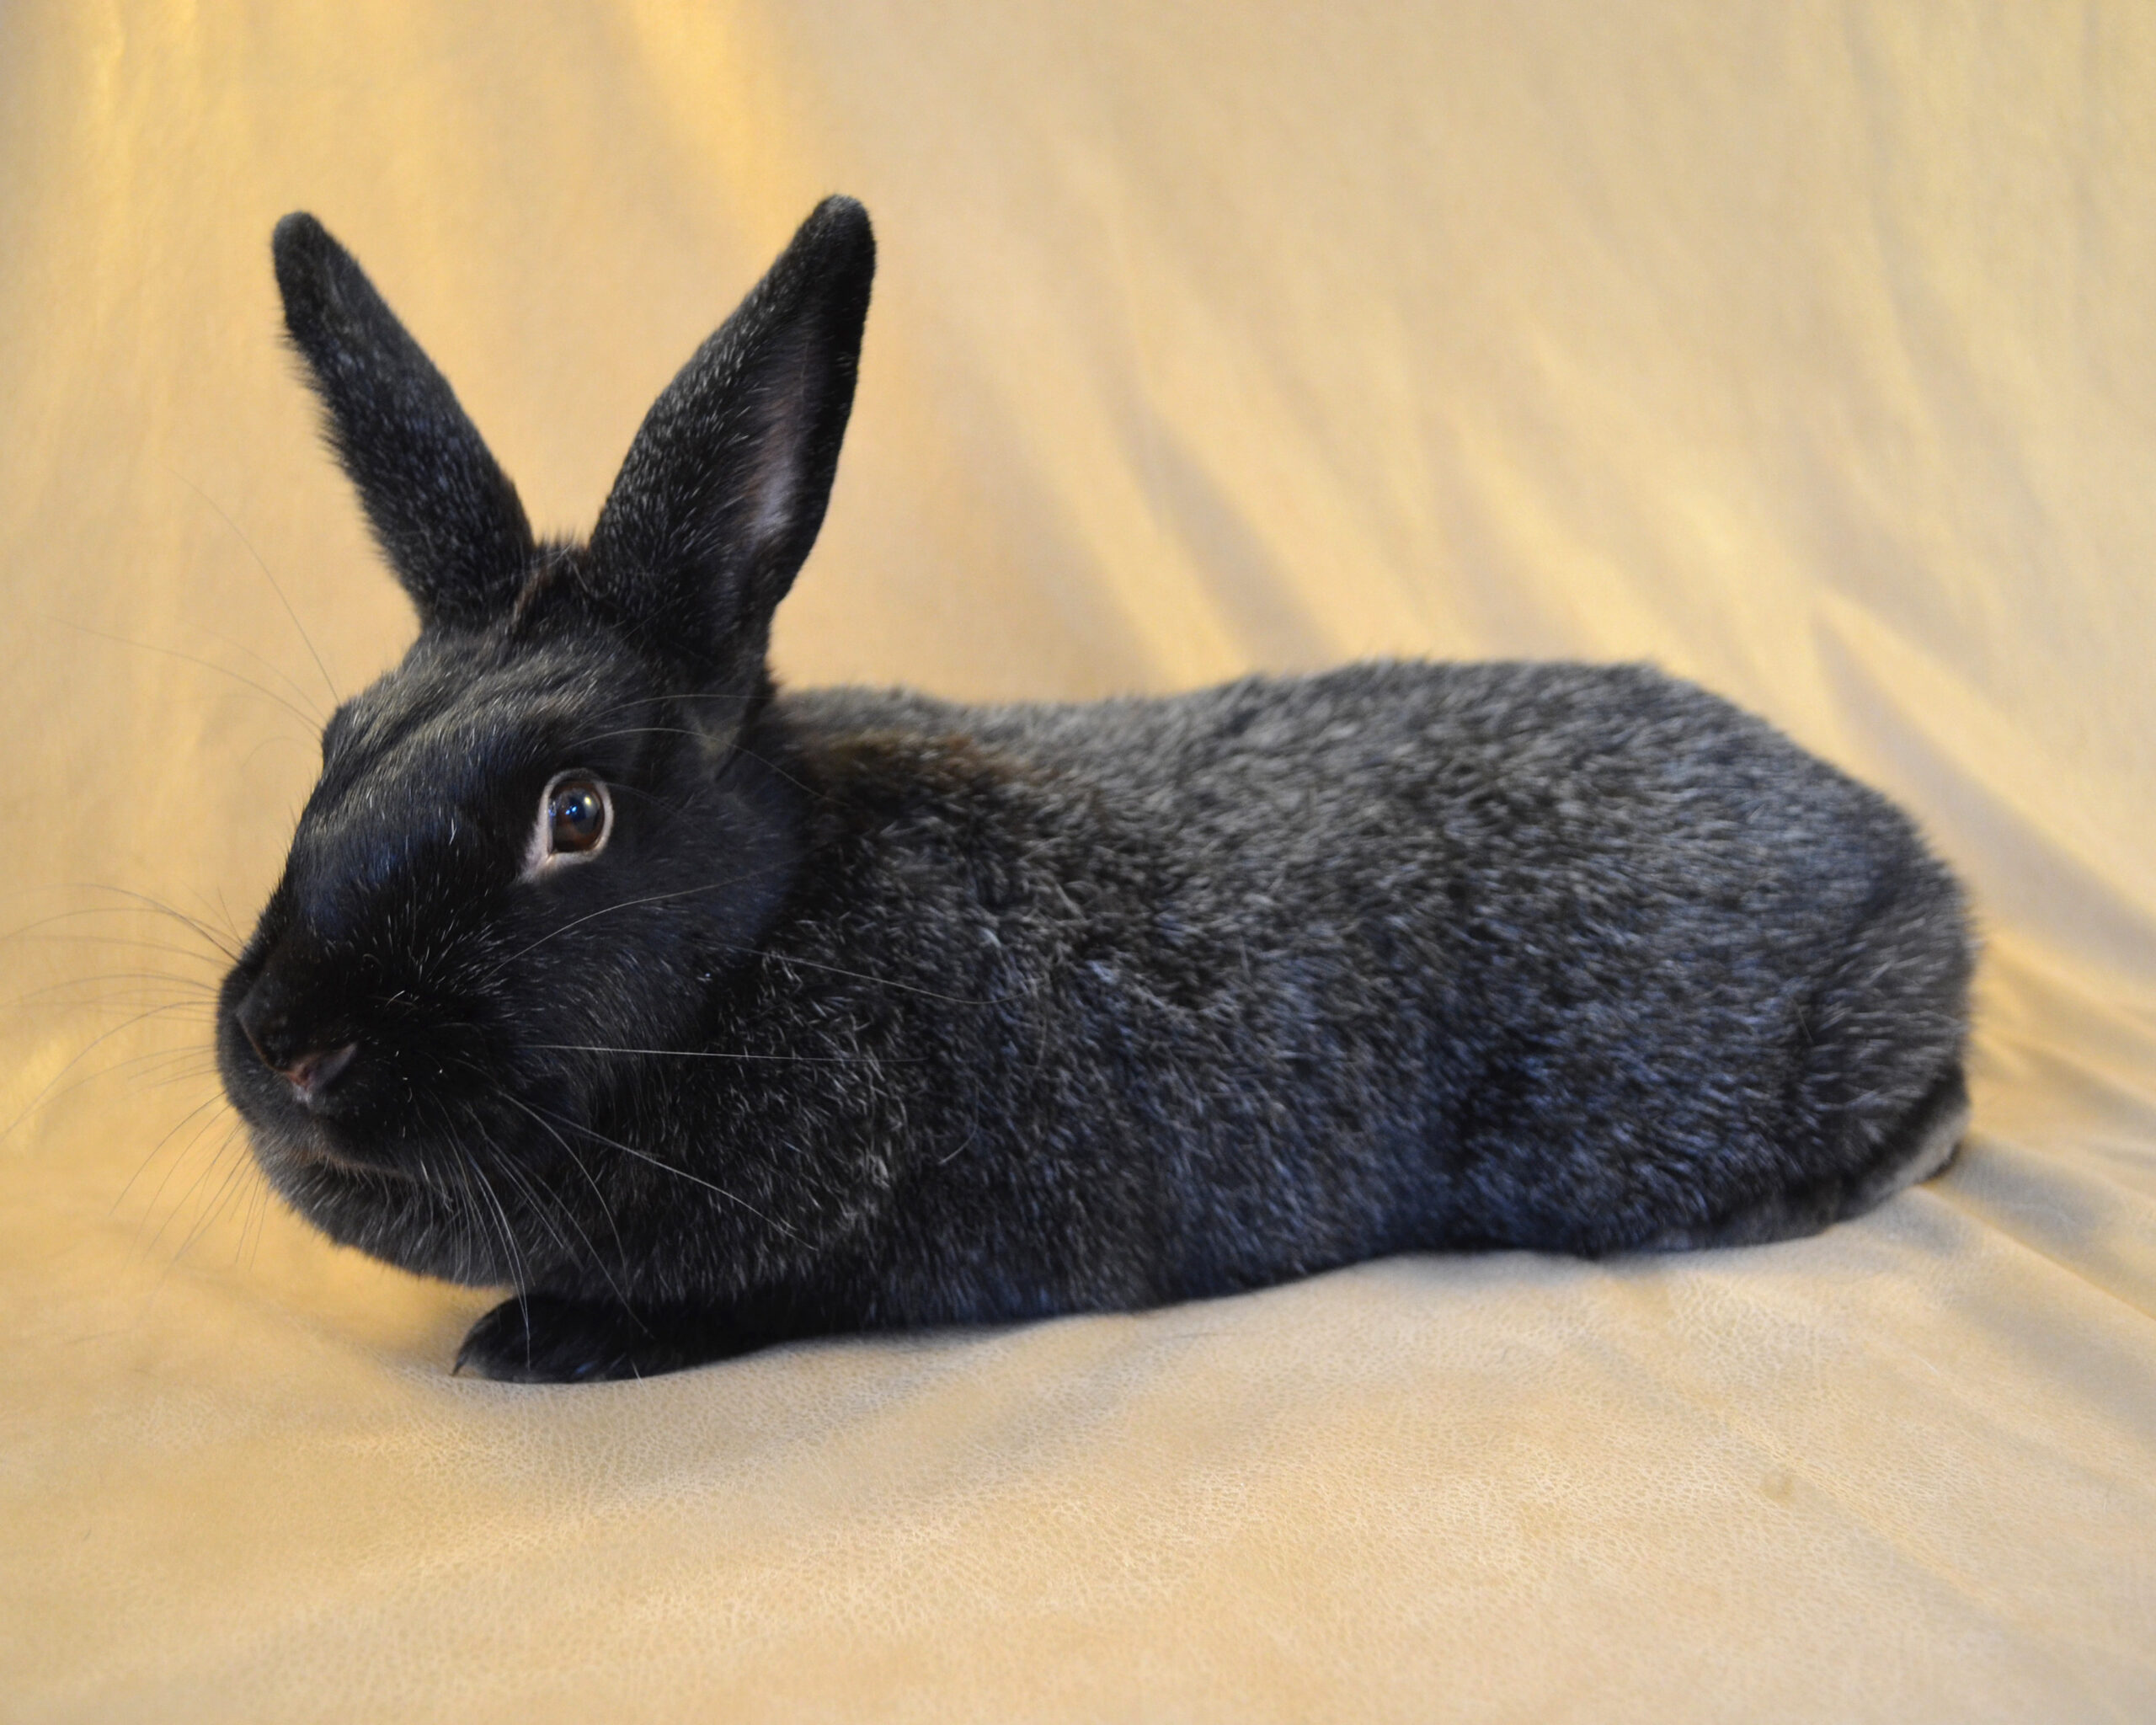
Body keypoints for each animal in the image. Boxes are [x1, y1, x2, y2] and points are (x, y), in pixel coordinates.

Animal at [214, 195, 1974, 1380]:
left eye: (572, 815)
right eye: (337, 741)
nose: (287, 1044)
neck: (775, 937)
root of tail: (1919, 878)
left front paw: (534, 1341)